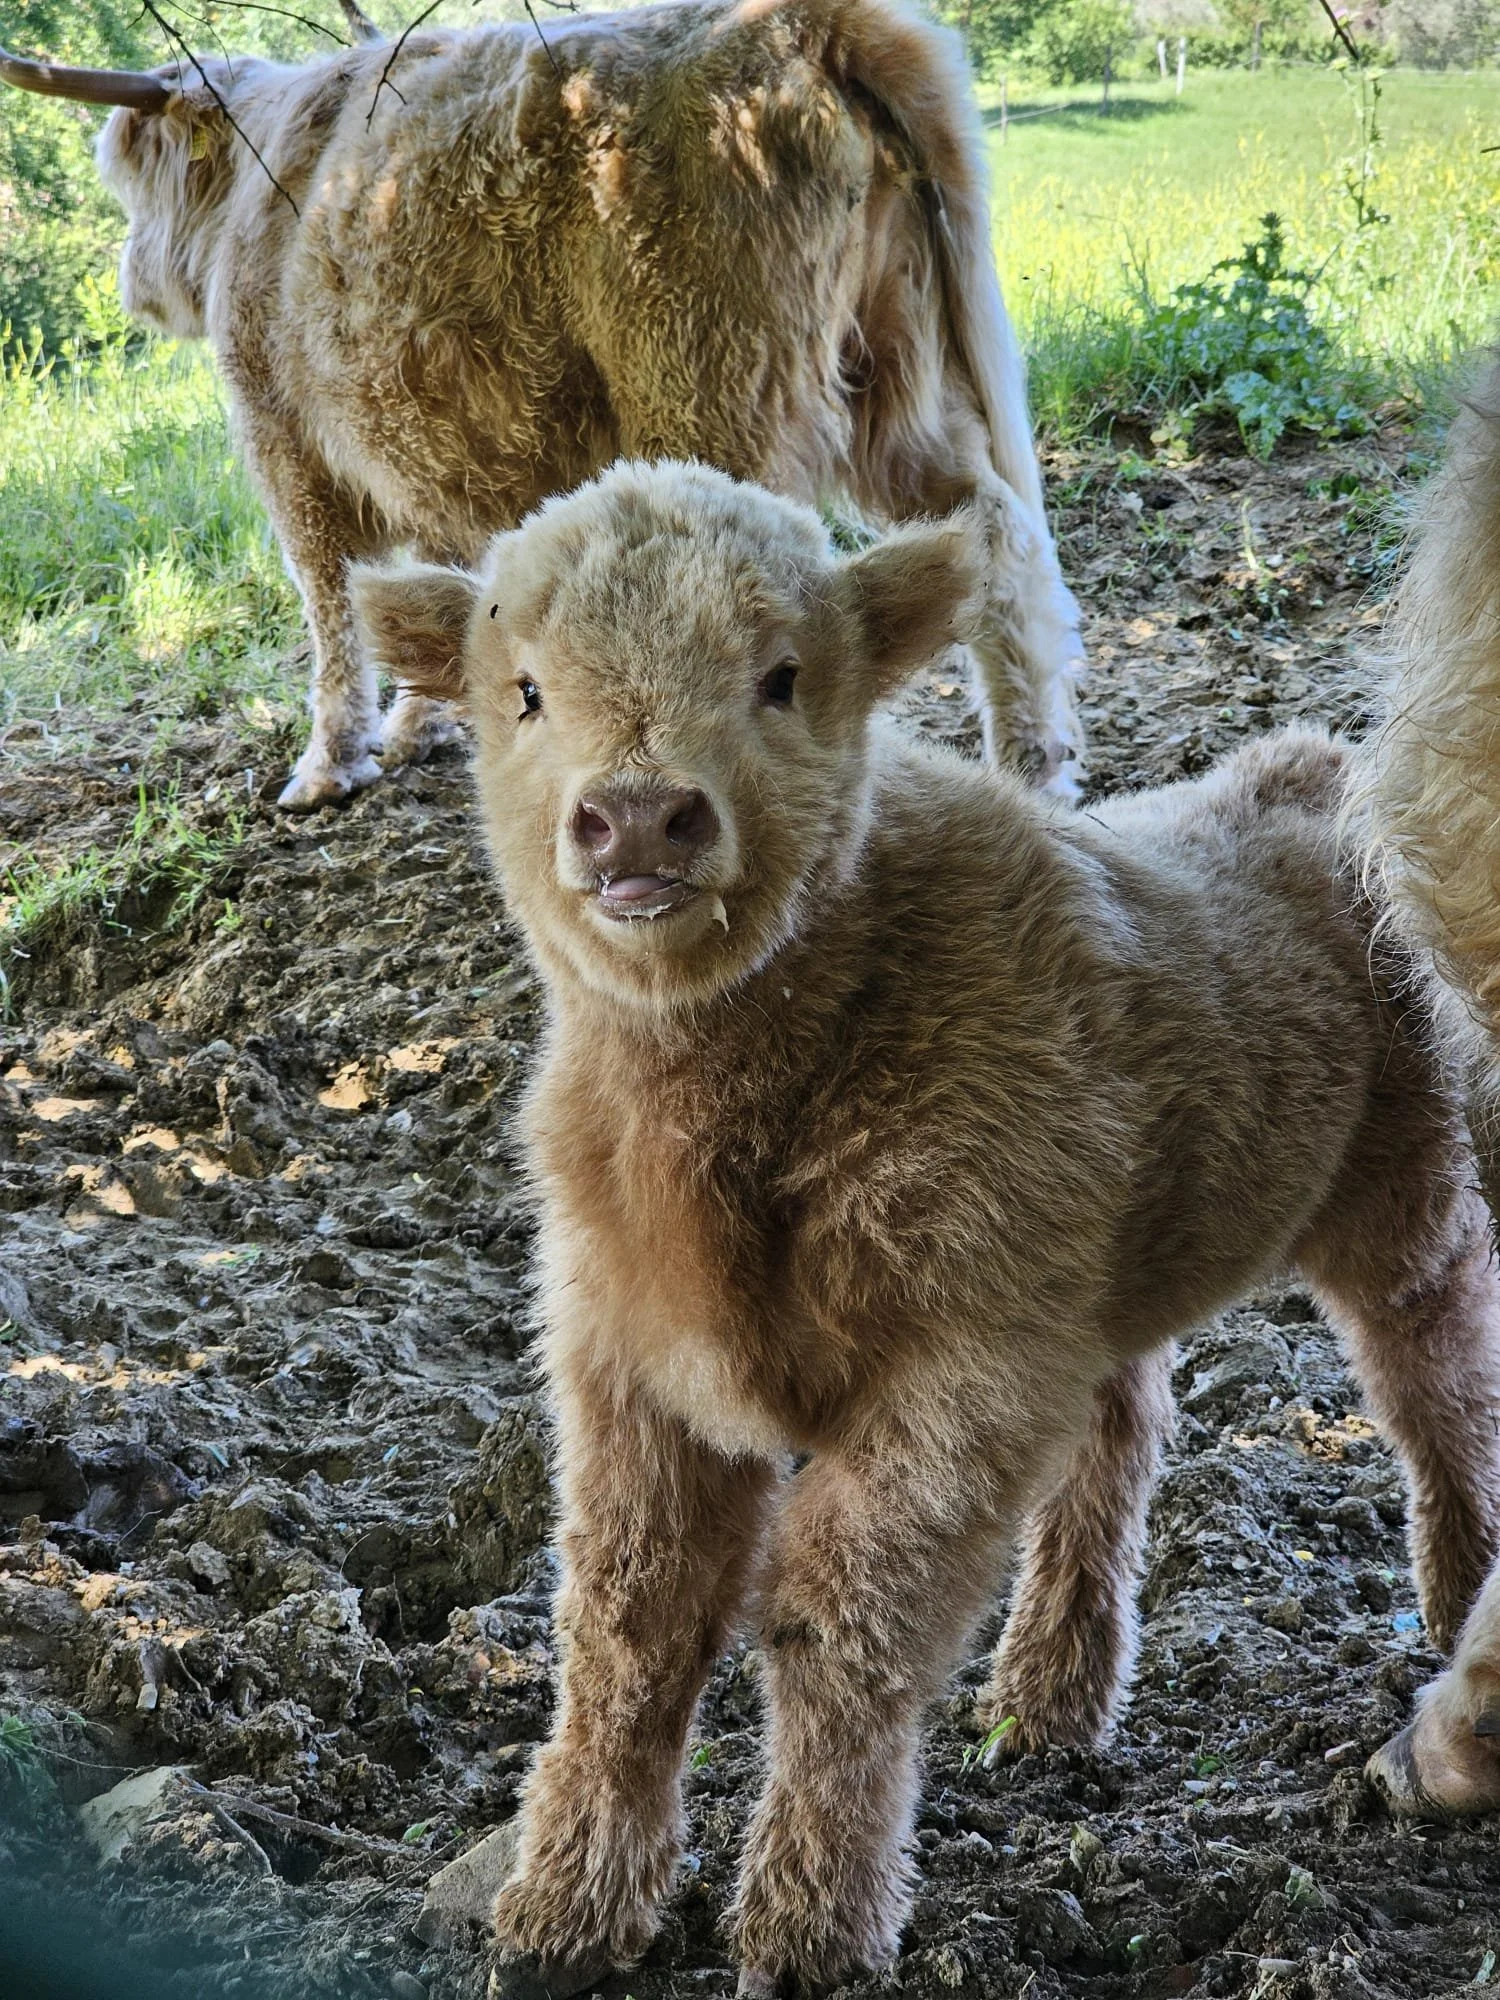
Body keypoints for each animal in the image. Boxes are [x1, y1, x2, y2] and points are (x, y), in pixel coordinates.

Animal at [0, 0, 1082, 810]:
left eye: (133, 188)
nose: (130, 283)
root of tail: (799, 22)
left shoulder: (286, 441)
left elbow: (331, 606)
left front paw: (330, 764)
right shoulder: (429, 445)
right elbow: (433, 593)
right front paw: (427, 725)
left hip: (712, 392)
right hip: (897, 380)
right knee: (996, 536)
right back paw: (1036, 771)